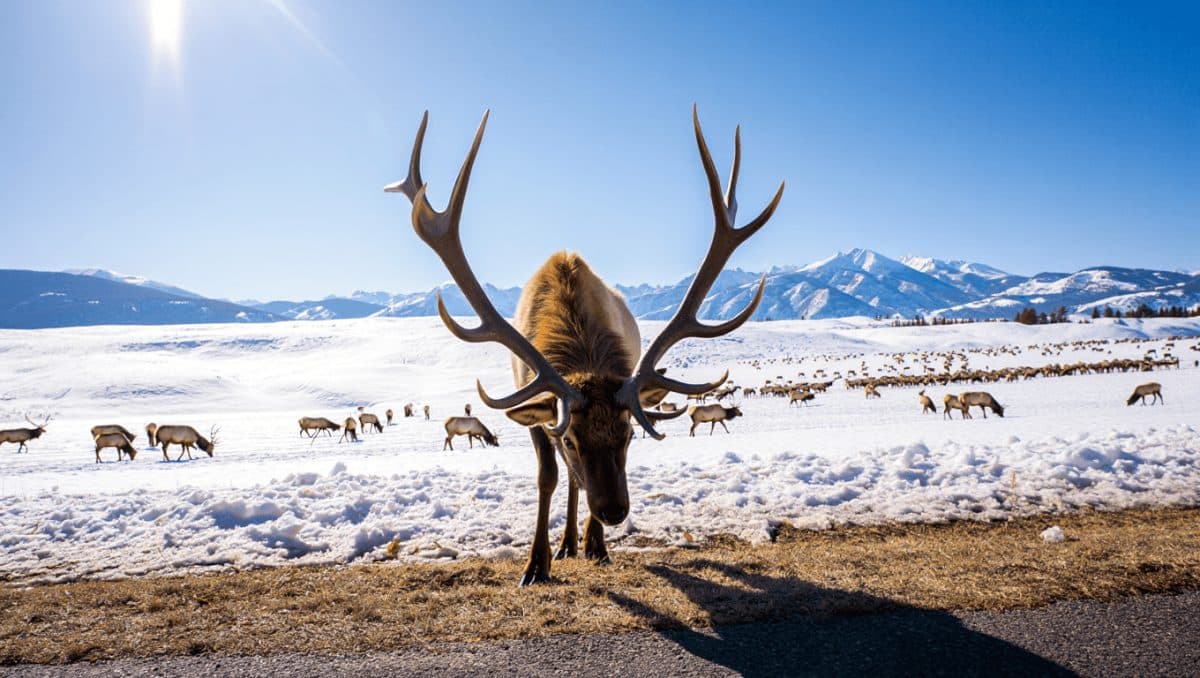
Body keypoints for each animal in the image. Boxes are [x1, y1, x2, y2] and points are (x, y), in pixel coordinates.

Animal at [385, 106, 781, 585]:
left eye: (628, 434)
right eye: (572, 440)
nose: (614, 511)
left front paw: (595, 544)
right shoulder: (537, 409)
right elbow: (548, 477)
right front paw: (536, 564)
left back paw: (582, 541)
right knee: (569, 481)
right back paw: (566, 542)